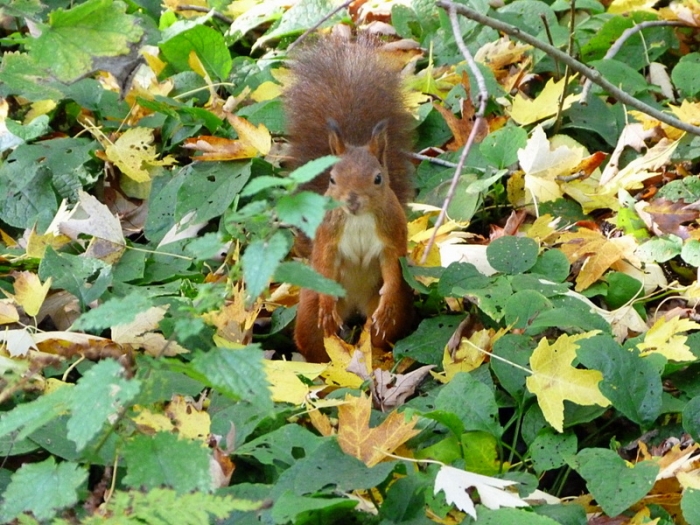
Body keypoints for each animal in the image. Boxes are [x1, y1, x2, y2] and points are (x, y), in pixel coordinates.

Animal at [284, 35, 416, 362]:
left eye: (378, 179)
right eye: (332, 179)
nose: (352, 201)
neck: (358, 220)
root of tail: (355, 306)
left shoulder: (391, 236)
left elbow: (392, 267)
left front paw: (387, 300)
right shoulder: (328, 237)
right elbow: (325, 259)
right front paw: (327, 306)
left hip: (390, 311)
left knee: (379, 334)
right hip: (310, 312)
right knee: (316, 338)